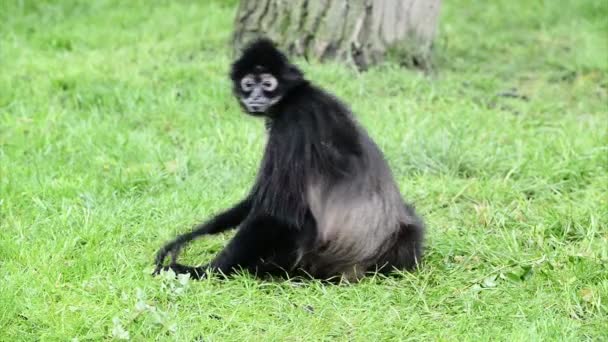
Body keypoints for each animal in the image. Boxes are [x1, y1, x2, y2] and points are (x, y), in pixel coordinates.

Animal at [154, 38, 426, 282]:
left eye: (267, 84)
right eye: (248, 84)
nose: (255, 97)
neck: (294, 96)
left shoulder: (292, 124)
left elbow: (277, 214)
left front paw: (203, 271)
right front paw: (187, 238)